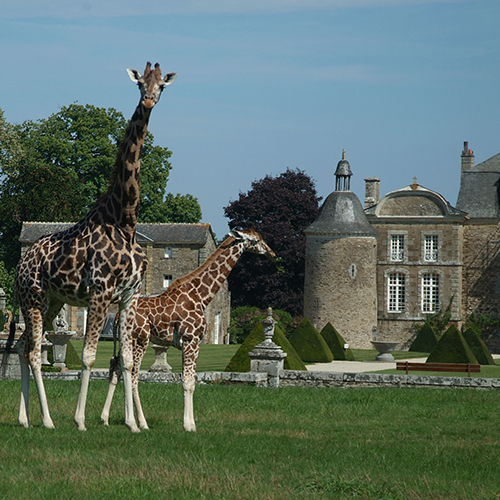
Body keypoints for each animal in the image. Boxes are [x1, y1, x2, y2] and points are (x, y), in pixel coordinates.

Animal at [7, 62, 177, 432]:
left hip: (52, 301)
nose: (149, 100)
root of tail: (19, 265)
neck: (125, 222)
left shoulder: (129, 297)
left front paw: (132, 424)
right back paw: (47, 420)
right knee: (32, 351)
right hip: (32, 298)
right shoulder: (100, 292)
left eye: (162, 86)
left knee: (26, 346)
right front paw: (81, 420)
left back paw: (26, 418)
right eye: (140, 83)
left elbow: (125, 360)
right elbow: (86, 356)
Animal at [99, 229, 276, 432]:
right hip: (140, 340)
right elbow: (189, 382)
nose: (272, 253)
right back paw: (141, 423)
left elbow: (189, 381)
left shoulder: (190, 342)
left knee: (115, 369)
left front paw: (190, 423)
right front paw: (189, 425)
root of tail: (116, 319)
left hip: (125, 341)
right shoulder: (192, 340)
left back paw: (105, 418)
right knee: (133, 375)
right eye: (256, 240)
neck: (201, 295)